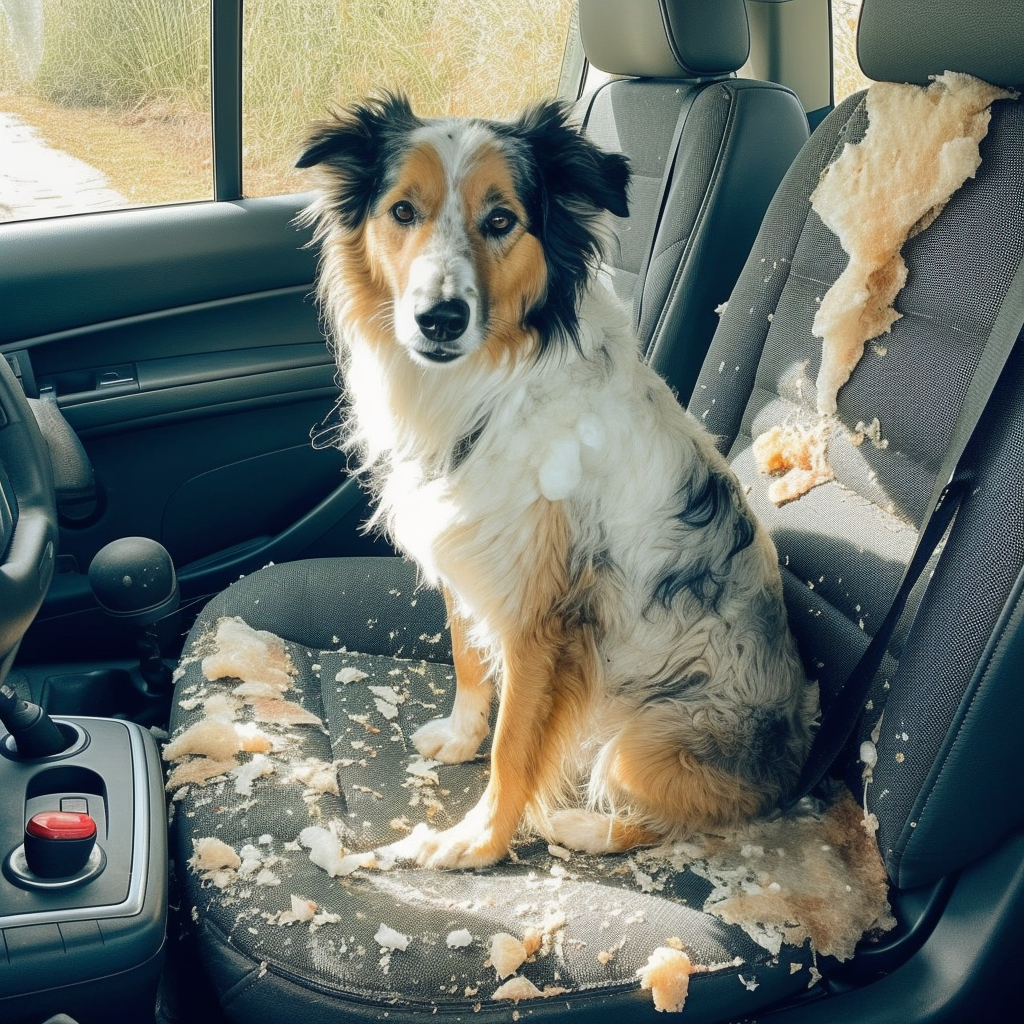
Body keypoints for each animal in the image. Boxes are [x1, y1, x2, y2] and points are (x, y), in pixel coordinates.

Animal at [296, 92, 815, 868]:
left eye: (501, 220)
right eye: (403, 211)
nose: (439, 319)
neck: (492, 384)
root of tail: (805, 753)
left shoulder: (547, 617)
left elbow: (516, 746)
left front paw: (477, 841)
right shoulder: (474, 550)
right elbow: (468, 658)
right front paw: (459, 738)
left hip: (650, 739)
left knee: (679, 815)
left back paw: (580, 827)